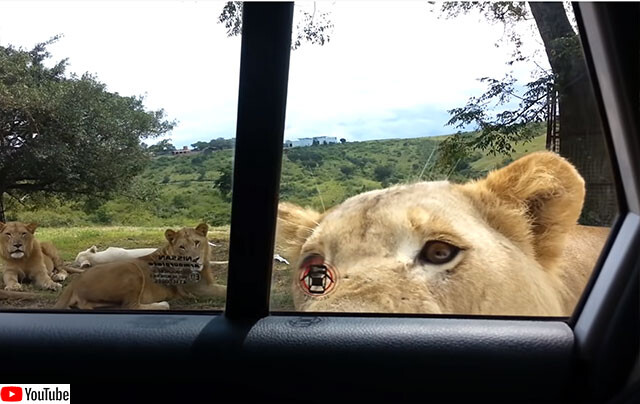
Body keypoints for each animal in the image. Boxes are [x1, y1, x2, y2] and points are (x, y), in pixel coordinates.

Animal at [55, 223, 226, 310]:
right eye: (182, 247)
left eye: (197, 243)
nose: (195, 261)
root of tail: (74, 283)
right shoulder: (198, 289)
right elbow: (222, 291)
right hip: (132, 271)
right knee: (130, 306)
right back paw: (163, 304)